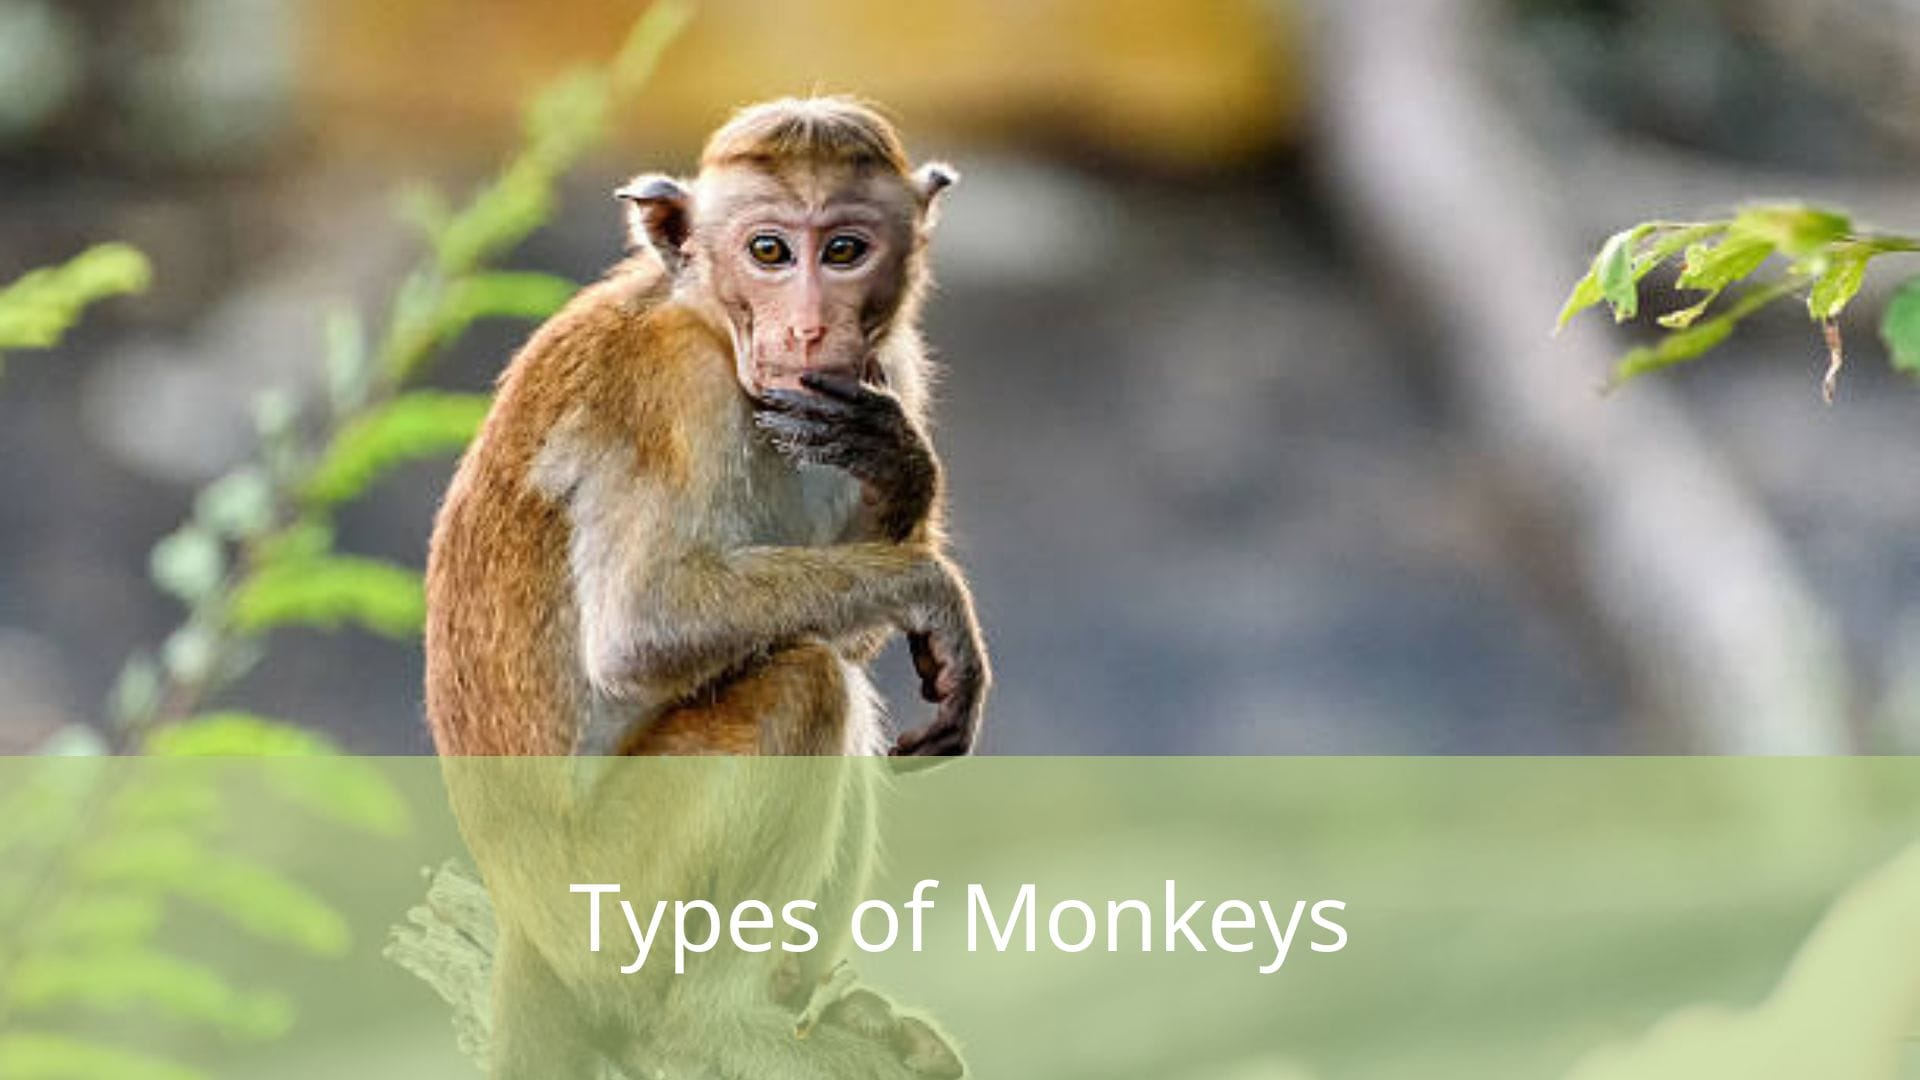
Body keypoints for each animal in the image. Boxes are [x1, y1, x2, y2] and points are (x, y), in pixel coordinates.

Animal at [423, 97, 987, 1079]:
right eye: (769, 251)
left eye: (845, 250)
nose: (808, 330)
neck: (709, 317)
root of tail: (523, 922)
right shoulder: (674, 392)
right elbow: (642, 629)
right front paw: (937, 593)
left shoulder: (884, 373)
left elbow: (852, 626)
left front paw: (901, 467)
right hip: (608, 897)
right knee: (805, 687)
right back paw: (715, 1024)